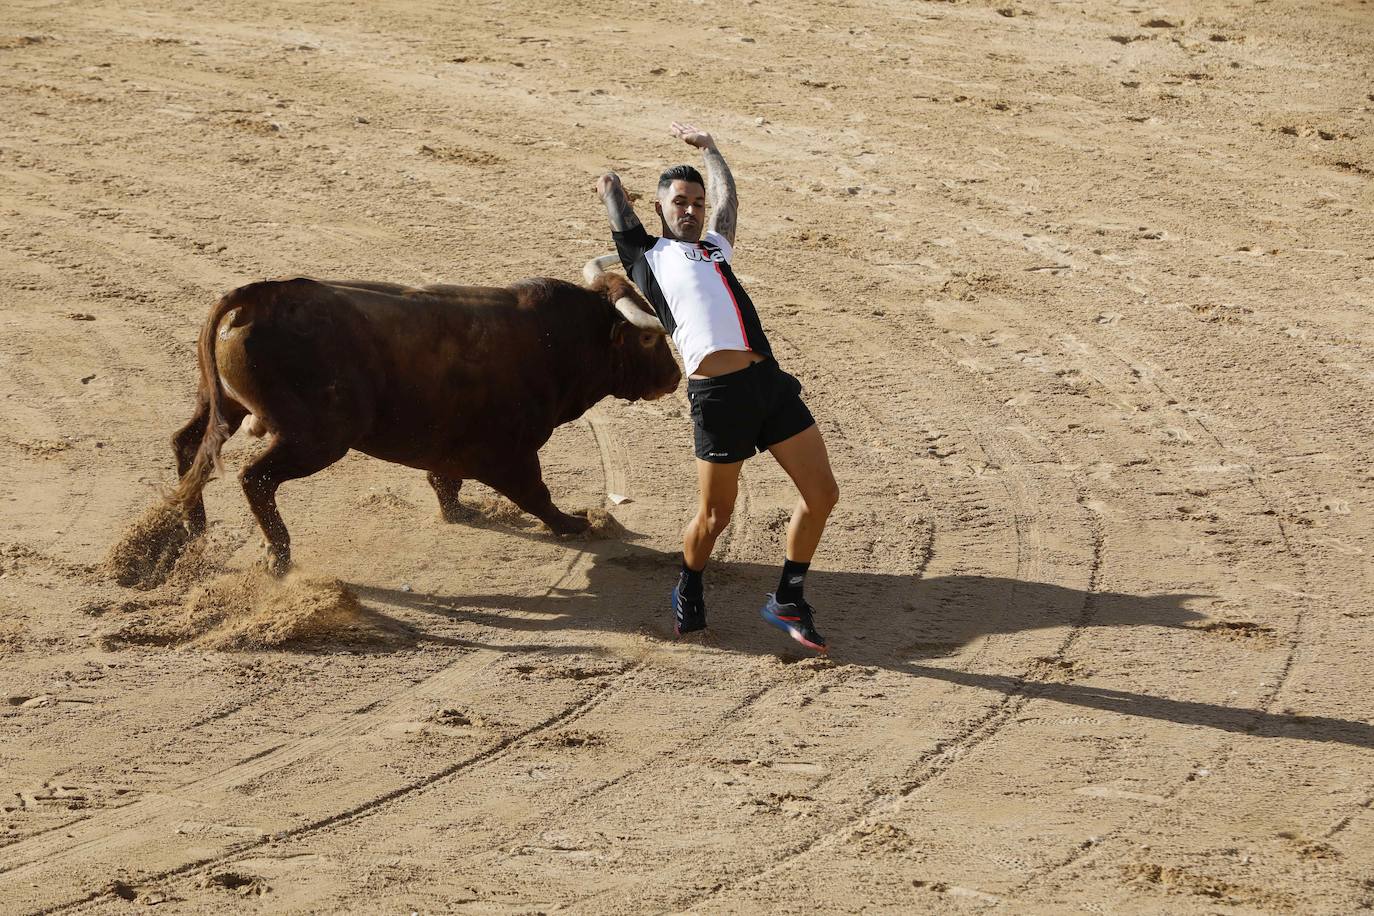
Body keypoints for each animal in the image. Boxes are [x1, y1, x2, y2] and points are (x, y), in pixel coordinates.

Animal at [169, 258, 678, 574]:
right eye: (648, 339)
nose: (674, 377)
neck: (563, 340)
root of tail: (263, 297)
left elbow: (445, 480)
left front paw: (459, 511)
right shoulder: (512, 453)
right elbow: (536, 493)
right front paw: (574, 524)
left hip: (225, 406)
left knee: (189, 444)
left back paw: (193, 532)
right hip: (317, 439)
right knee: (255, 477)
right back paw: (277, 557)